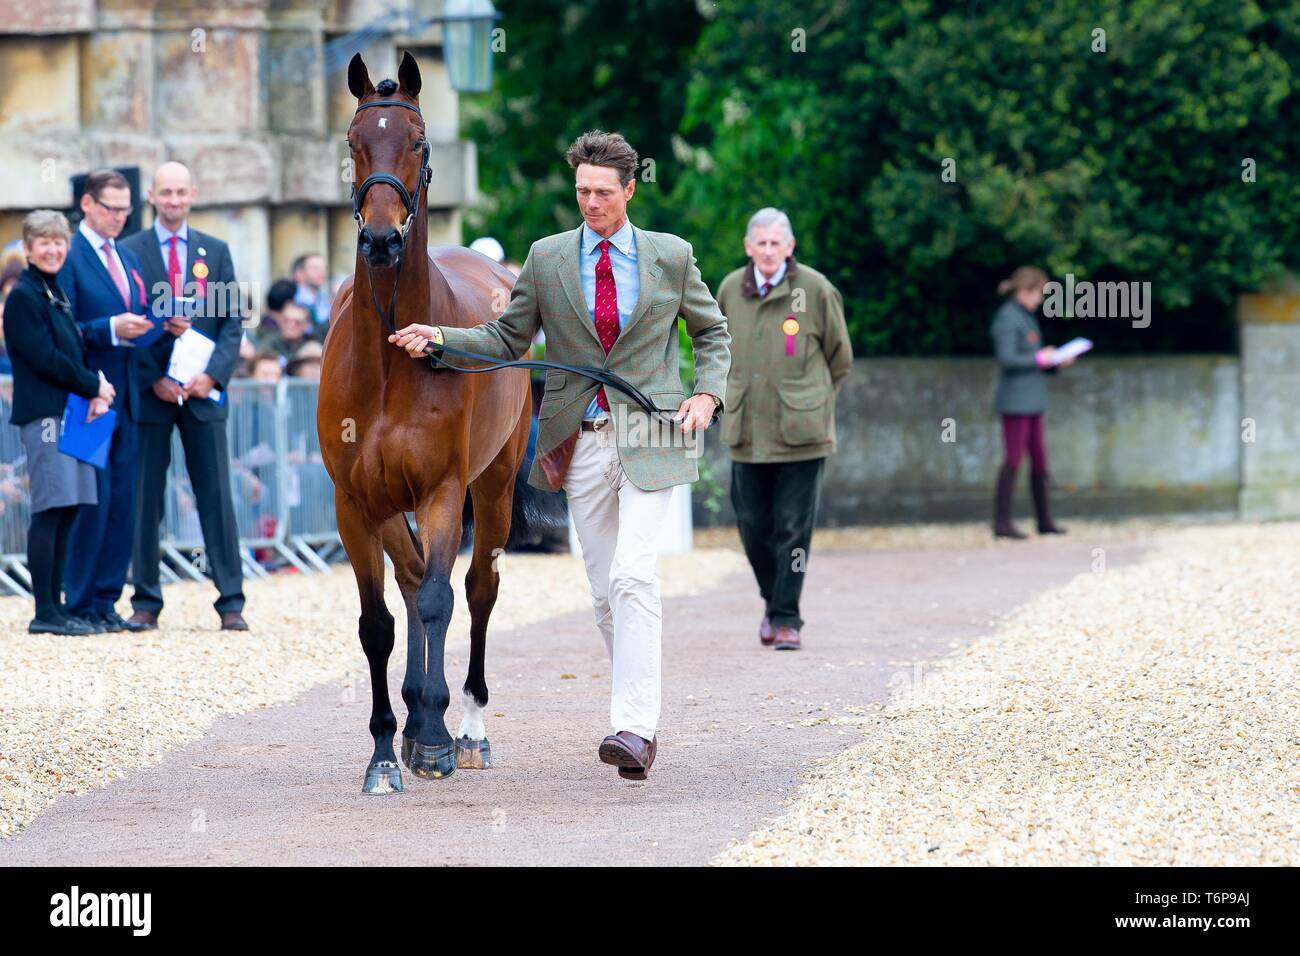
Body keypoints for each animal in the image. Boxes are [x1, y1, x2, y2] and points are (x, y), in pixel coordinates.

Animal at [318, 51, 540, 794]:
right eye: (355, 142)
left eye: (418, 143)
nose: (382, 238)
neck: (393, 357)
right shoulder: (357, 502)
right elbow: (380, 622)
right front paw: (388, 750)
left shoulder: (443, 490)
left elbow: (444, 599)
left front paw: (440, 740)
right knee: (413, 582)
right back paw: (416, 722)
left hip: (494, 486)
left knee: (476, 591)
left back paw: (465, 728)